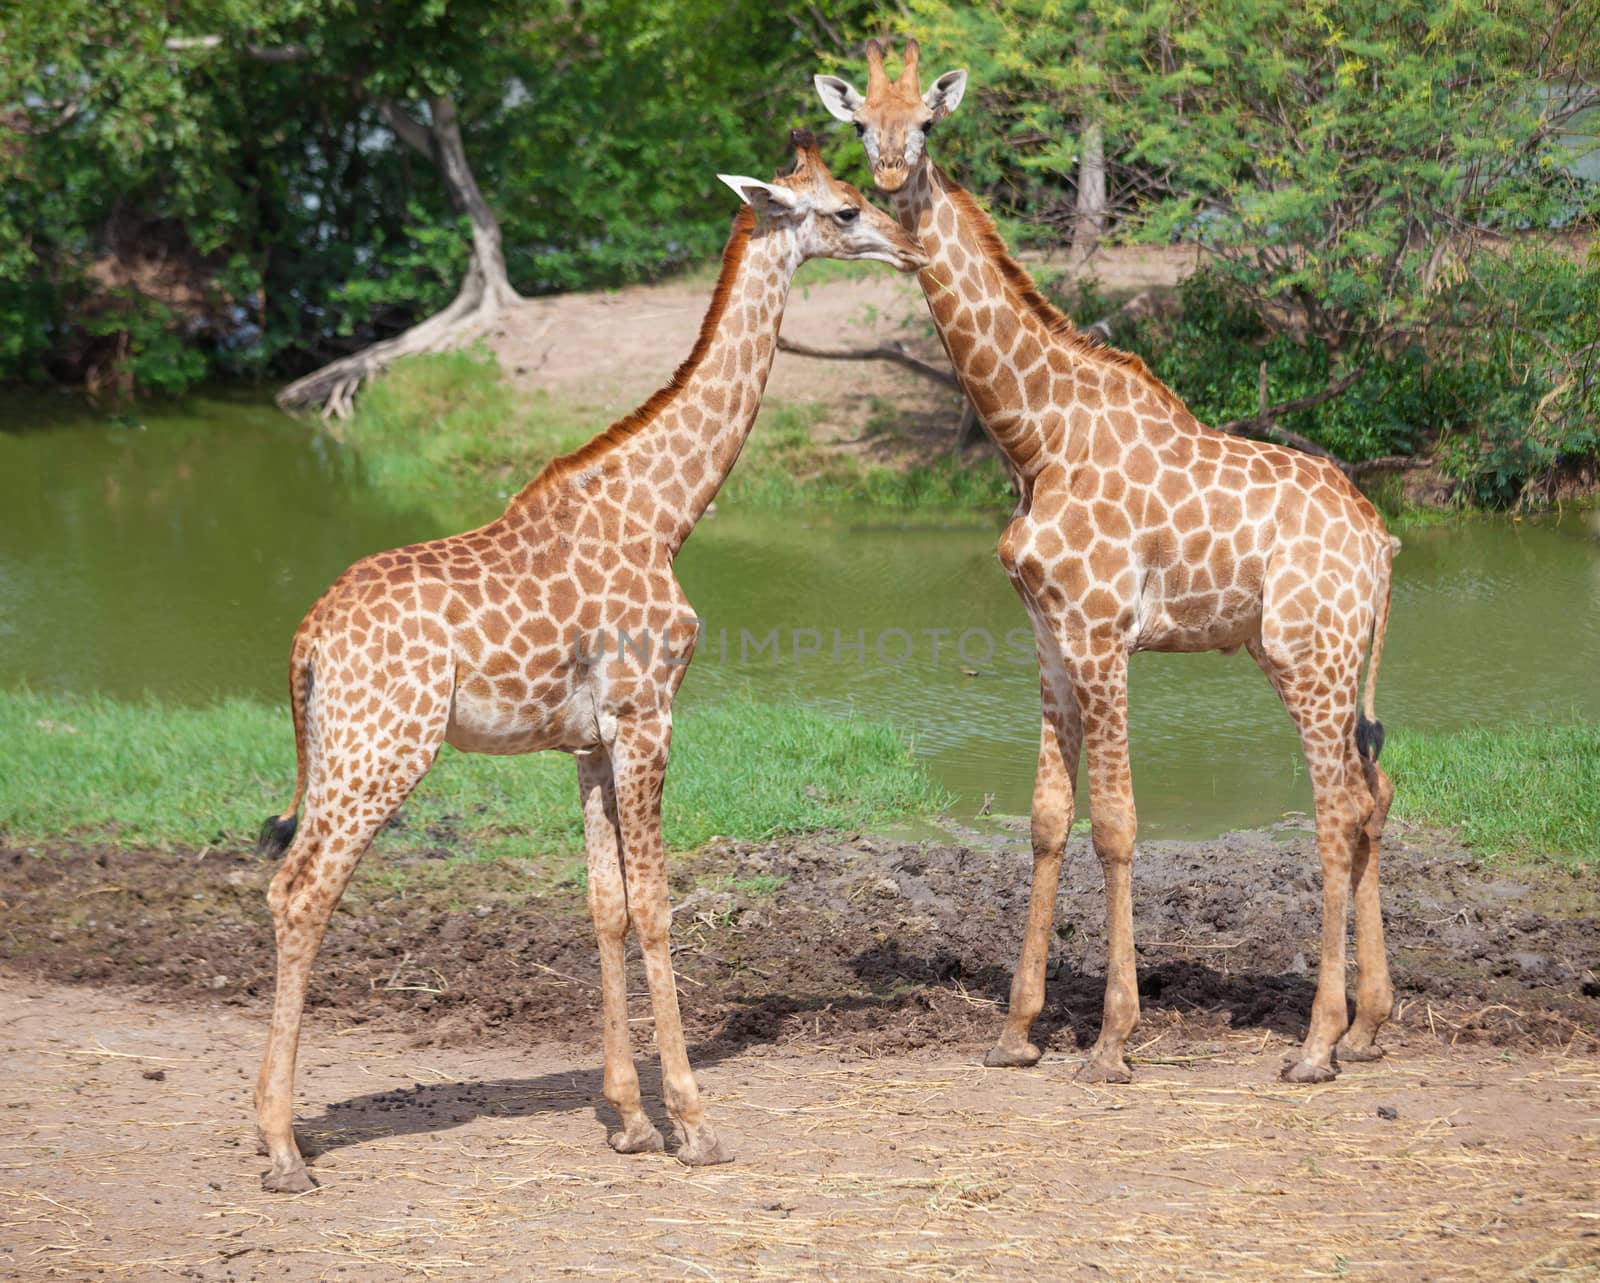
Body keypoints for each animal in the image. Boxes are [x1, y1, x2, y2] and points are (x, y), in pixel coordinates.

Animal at [248, 132, 928, 1190]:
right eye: (848, 208)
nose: (911, 248)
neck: (667, 511)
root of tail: (307, 639)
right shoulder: (650, 713)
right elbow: (655, 901)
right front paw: (693, 1121)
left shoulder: (587, 739)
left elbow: (604, 903)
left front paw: (629, 1119)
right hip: (386, 748)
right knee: (302, 889)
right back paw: (284, 1149)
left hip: (336, 748)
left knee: (289, 883)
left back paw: (277, 1132)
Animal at [819, 39, 1395, 1081]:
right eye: (858, 123)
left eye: (924, 121)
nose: (884, 174)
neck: (1034, 440)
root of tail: (1381, 540)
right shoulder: (1048, 636)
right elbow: (1047, 818)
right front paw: (1015, 1031)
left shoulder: (1101, 631)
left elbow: (1118, 824)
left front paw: (1114, 1040)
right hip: (1308, 654)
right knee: (1370, 796)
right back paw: (1367, 1027)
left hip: (1312, 652)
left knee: (1336, 811)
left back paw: (1315, 1043)